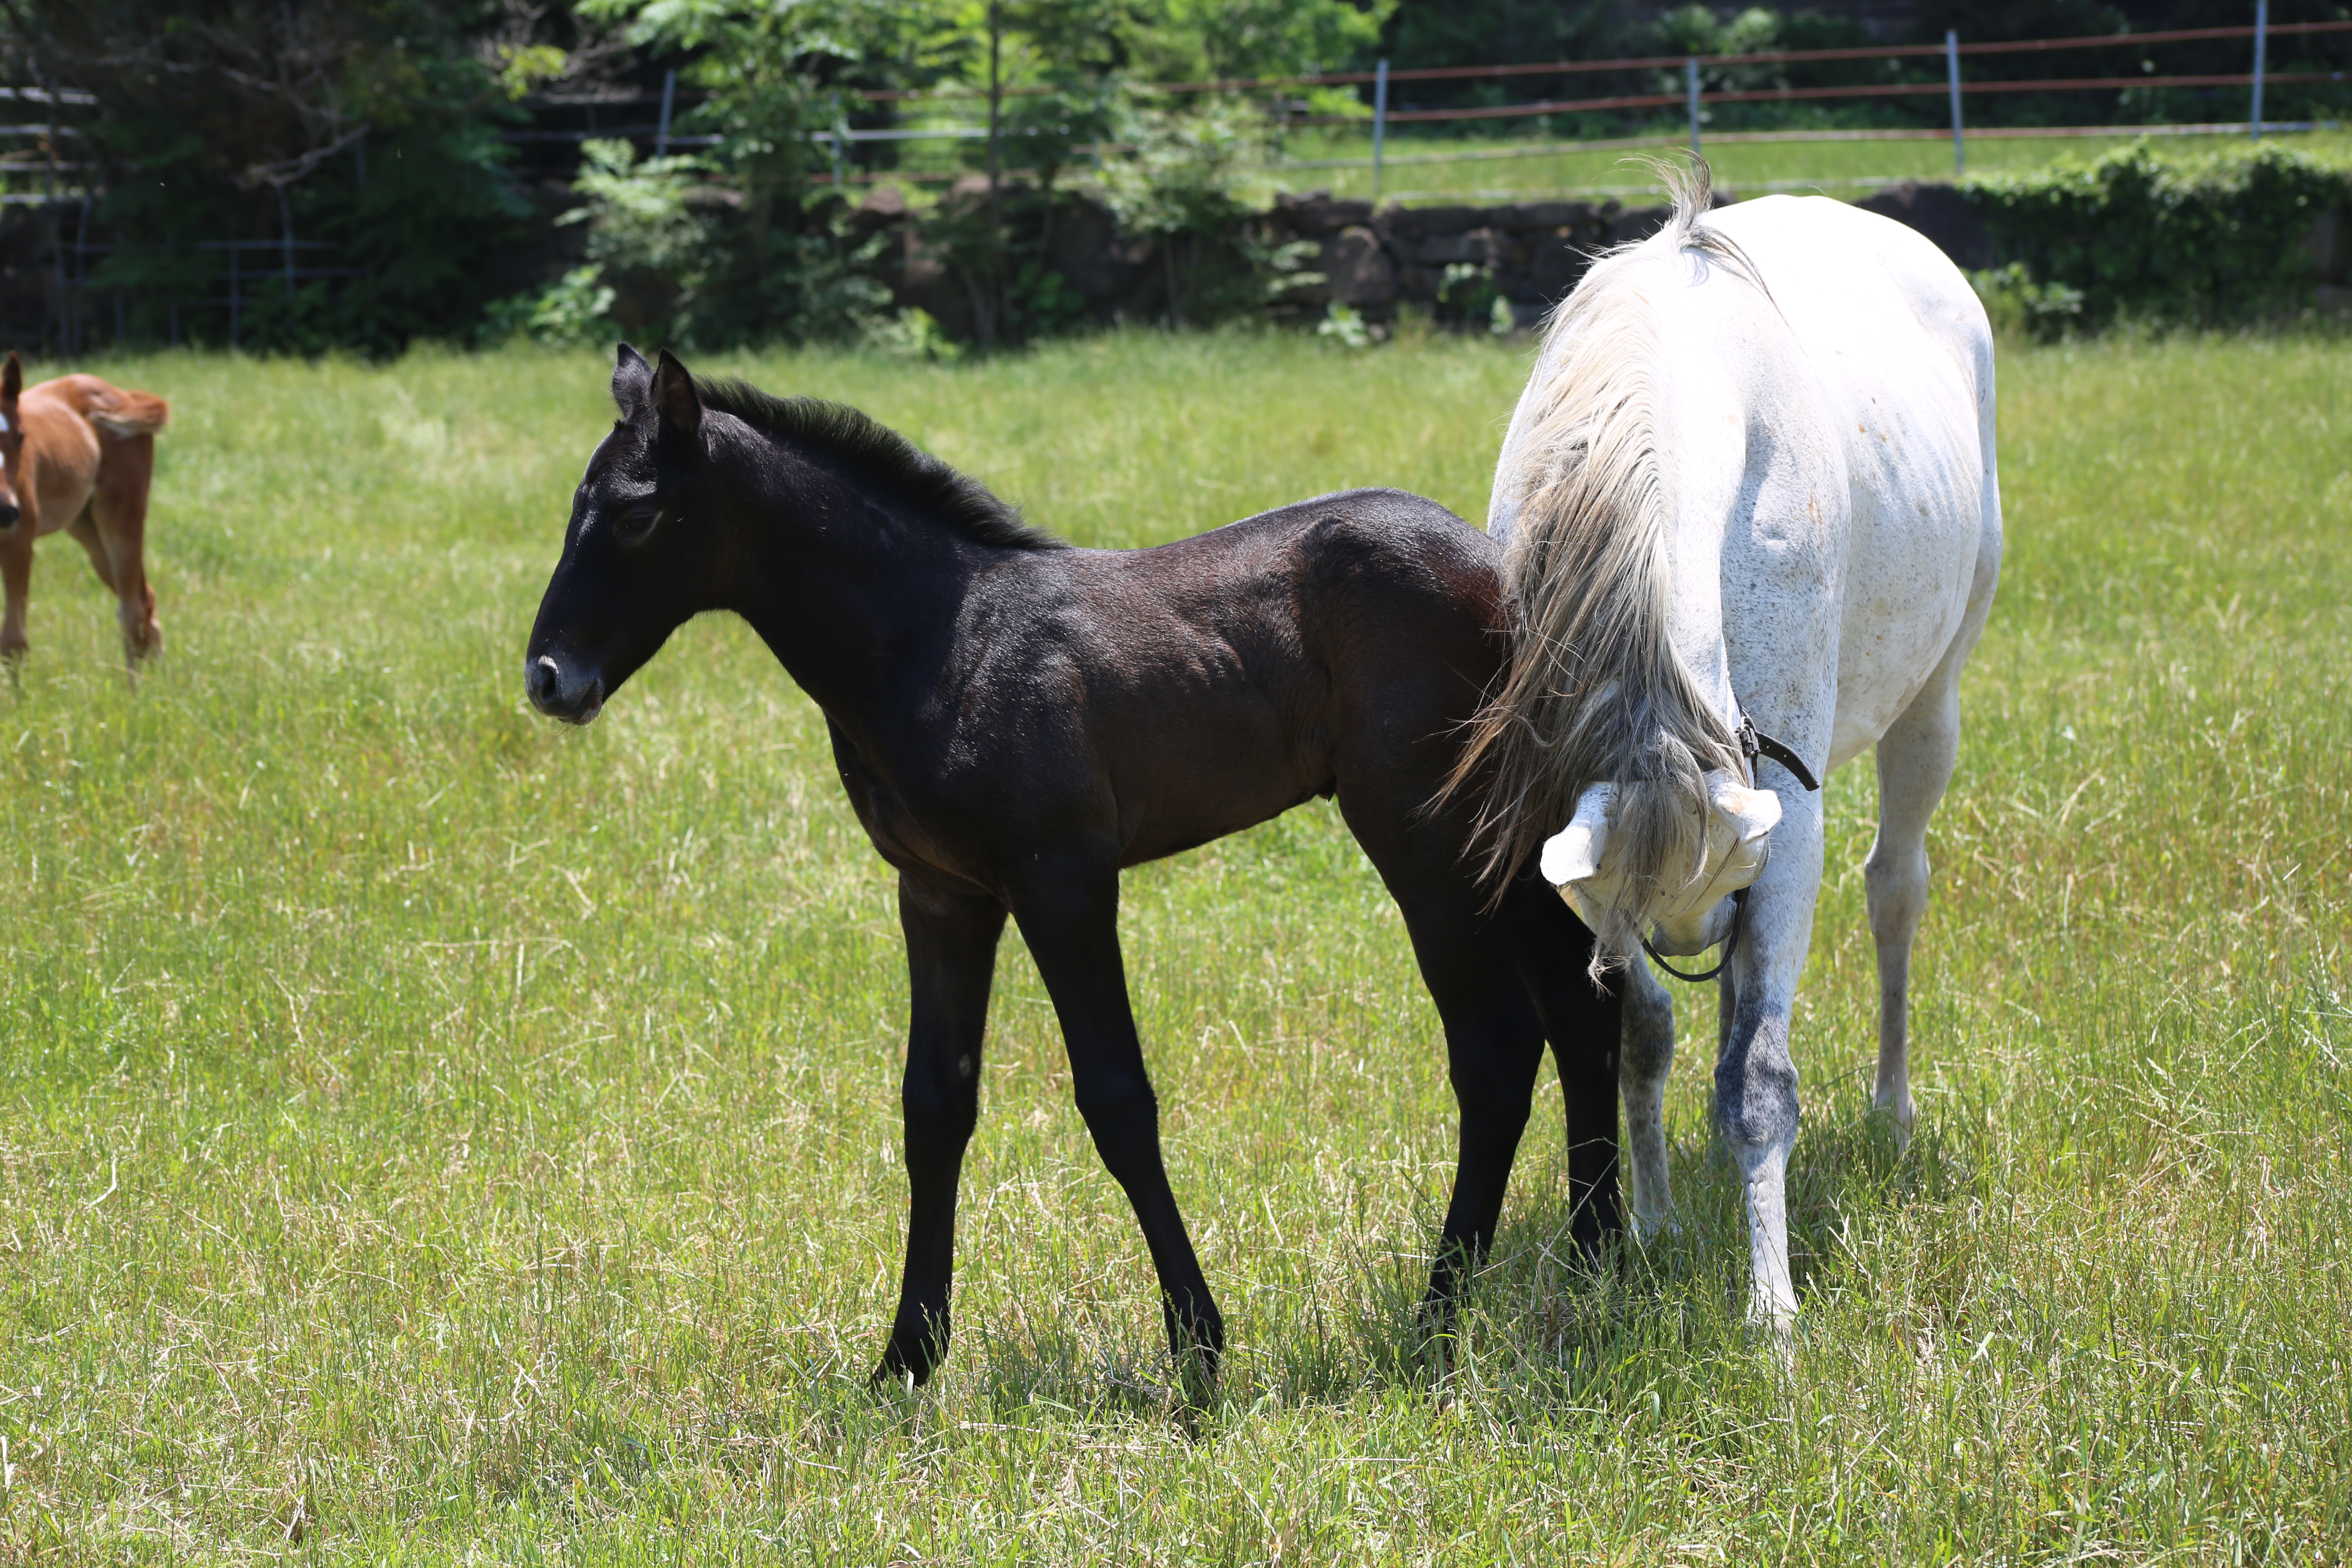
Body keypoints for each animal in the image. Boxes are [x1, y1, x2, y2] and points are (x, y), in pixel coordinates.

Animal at [0, 352, 170, 668]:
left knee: (134, 610)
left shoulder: (19, 543)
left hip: (120, 519)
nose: (6, 512)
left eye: (21, 437)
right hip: (87, 528)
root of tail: (124, 396)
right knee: (144, 599)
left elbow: (14, 643)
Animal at [527, 350, 1627, 1392]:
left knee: (1495, 1046)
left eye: (634, 514)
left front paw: (1197, 1347)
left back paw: (1435, 1322)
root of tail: (1508, 573)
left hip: (1422, 838)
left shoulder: (1062, 880)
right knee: (1583, 1004)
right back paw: (1595, 1259)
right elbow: (933, 1106)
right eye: (576, 505)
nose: (547, 678)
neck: (938, 638)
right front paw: (905, 1359)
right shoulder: (940, 892)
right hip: (1505, 832)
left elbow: (1116, 1099)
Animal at [1468, 165, 2004, 1335]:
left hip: (1933, 703)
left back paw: (1892, 1114)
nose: (1699, 929)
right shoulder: (1593, 850)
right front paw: (1655, 1227)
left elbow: (1760, 1076)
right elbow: (1644, 1033)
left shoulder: (1784, 823)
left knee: (1895, 889)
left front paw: (1772, 1313)